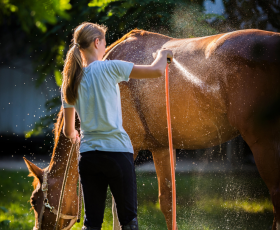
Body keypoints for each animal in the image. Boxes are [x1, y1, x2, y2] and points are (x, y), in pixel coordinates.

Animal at [24, 29, 280, 230]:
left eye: (34, 200)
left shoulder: (128, 151)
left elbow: (119, 209)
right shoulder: (162, 148)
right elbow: (167, 203)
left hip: (264, 143)